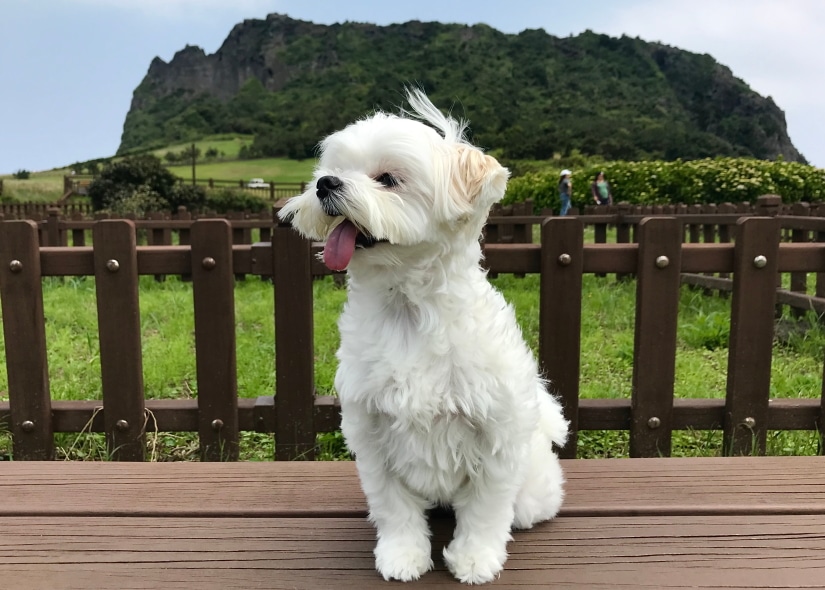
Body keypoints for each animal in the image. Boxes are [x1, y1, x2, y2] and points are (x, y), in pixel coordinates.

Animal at [276, 90, 568, 584]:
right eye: (332, 169)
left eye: (388, 179)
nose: (325, 184)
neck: (408, 309)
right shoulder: (372, 430)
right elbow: (393, 505)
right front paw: (402, 554)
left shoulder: (494, 431)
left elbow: (486, 507)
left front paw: (475, 558)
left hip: (532, 486)